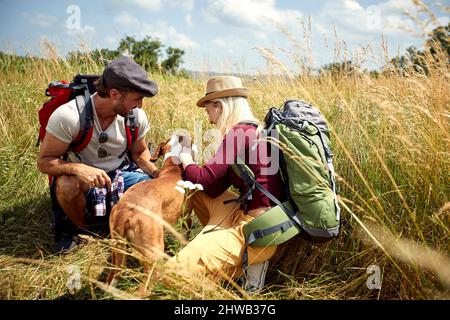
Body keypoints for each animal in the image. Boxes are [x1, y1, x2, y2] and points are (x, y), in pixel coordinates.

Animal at [107, 135, 192, 292]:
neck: (173, 167)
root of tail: (125, 210)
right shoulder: (186, 217)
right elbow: (184, 241)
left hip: (117, 249)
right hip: (155, 253)